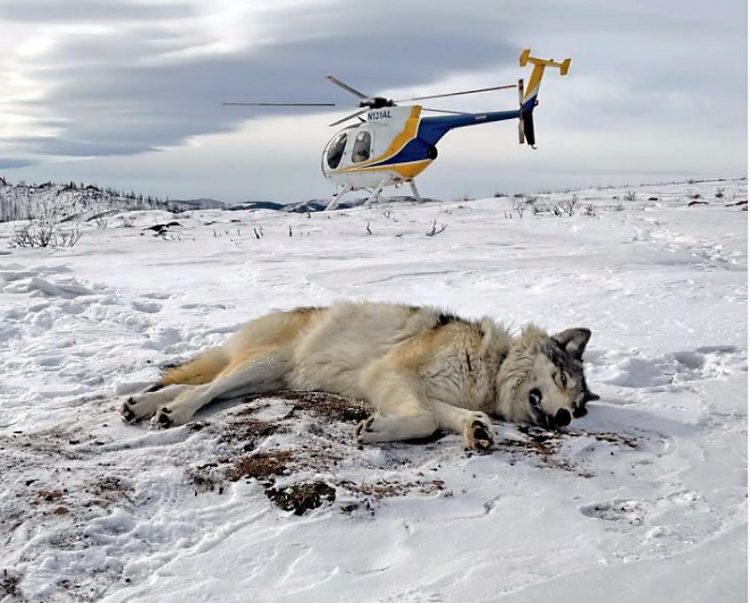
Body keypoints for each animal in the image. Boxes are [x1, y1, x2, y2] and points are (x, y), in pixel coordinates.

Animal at [126, 300, 604, 448]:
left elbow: (448, 418)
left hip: (265, 380)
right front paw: (373, 431)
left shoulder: (424, 393)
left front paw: (478, 430)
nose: (565, 418)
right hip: (262, 365)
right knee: (204, 389)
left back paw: (142, 405)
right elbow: (424, 421)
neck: (491, 365)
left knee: (196, 385)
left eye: (580, 408)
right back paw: (172, 412)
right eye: (562, 381)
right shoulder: (390, 374)